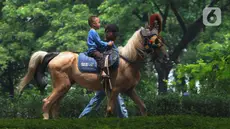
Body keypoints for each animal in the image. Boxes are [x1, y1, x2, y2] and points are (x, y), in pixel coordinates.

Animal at [17, 26, 166, 120]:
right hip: (62, 85)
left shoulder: (129, 90)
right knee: (47, 102)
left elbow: (143, 107)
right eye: (154, 40)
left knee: (54, 105)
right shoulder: (115, 90)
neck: (127, 62)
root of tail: (56, 55)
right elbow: (109, 110)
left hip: (64, 87)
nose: (165, 56)